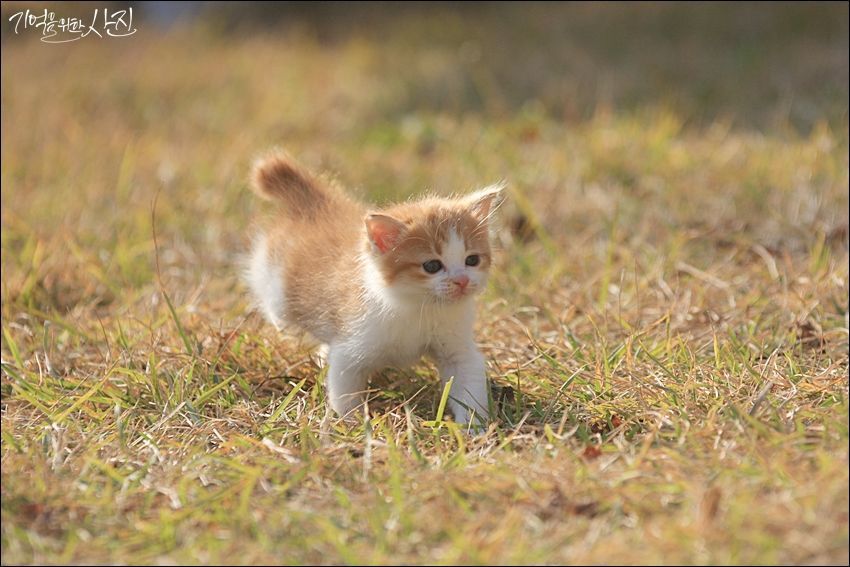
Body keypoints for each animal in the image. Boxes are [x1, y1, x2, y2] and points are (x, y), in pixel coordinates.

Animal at [243, 151, 504, 426]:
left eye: (472, 260)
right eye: (432, 265)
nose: (462, 281)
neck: (416, 306)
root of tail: (317, 205)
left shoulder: (457, 348)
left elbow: (468, 383)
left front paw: (473, 428)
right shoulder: (352, 347)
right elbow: (345, 391)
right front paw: (354, 424)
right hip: (277, 295)